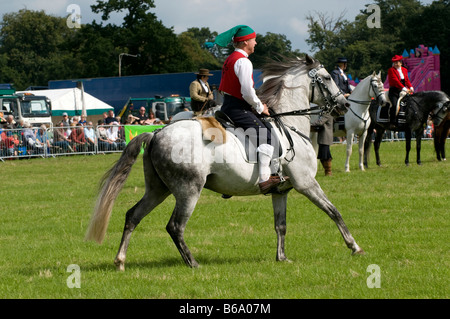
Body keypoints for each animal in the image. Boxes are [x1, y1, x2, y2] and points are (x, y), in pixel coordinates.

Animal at [86, 56, 364, 272]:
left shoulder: (281, 192)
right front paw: (355, 247)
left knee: (133, 216)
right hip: (188, 190)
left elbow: (281, 225)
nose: (344, 104)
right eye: (327, 77)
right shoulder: (306, 183)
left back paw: (120, 261)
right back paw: (193, 263)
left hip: (158, 190)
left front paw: (282, 257)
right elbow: (334, 212)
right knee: (175, 226)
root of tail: (157, 133)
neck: (290, 125)